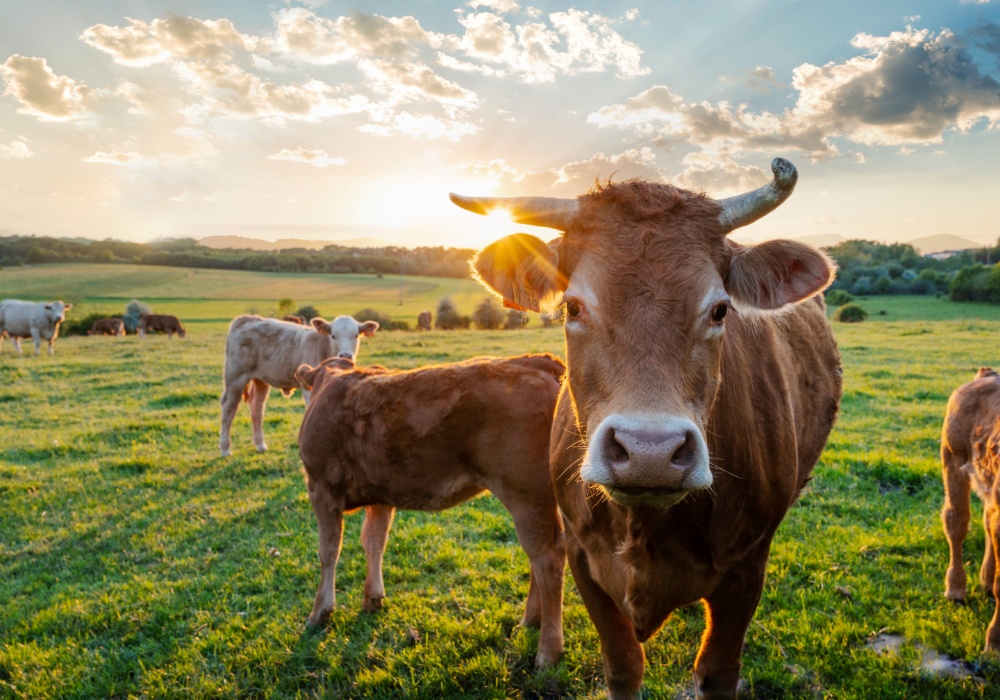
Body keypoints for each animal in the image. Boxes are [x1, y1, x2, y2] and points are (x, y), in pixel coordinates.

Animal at [220, 314, 378, 456]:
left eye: (356, 335)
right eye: (333, 335)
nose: (345, 355)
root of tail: (245, 319)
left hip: (261, 380)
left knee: (257, 408)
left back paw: (260, 445)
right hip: (235, 376)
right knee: (229, 408)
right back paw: (225, 448)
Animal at [292, 356, 568, 668]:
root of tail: (534, 361)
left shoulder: (321, 487)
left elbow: (328, 551)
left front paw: (320, 612)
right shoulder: (381, 494)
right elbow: (374, 541)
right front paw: (372, 598)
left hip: (525, 493)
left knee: (547, 558)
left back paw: (547, 651)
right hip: (538, 498)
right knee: (541, 555)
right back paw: (530, 621)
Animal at [454, 159, 844, 700]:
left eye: (720, 309)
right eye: (573, 307)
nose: (650, 452)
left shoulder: (747, 570)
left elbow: (717, 671)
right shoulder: (584, 560)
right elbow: (622, 666)